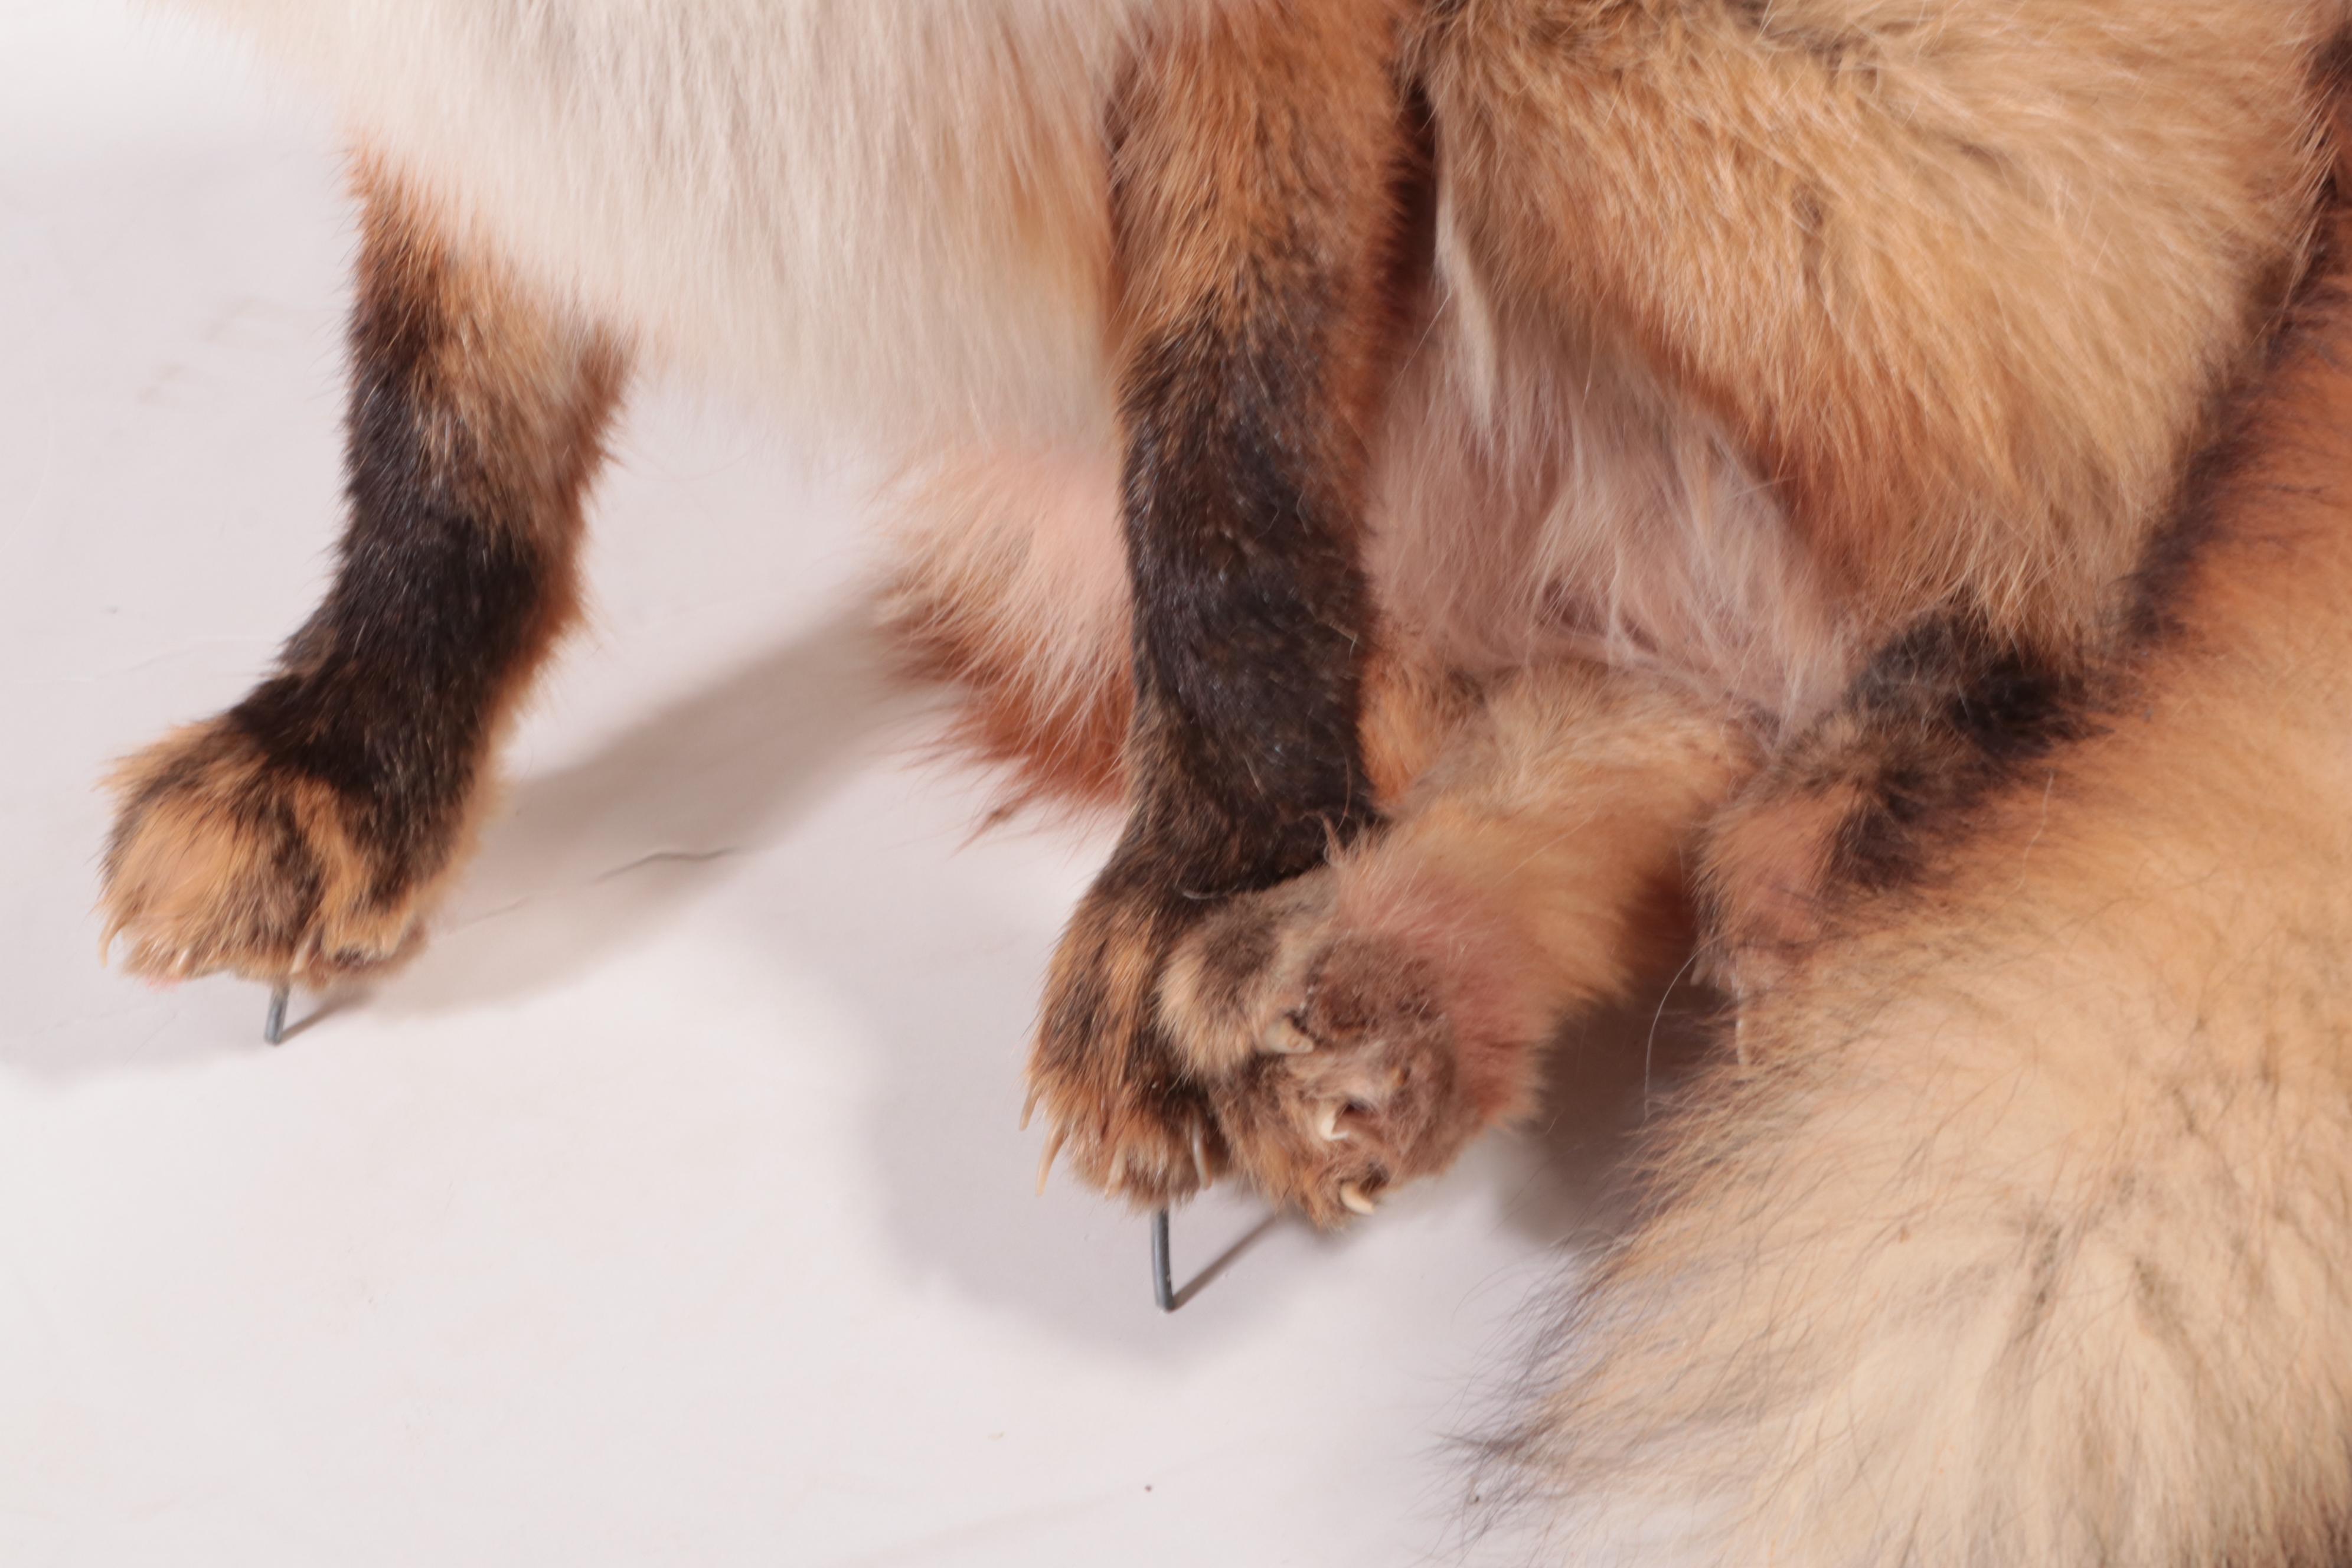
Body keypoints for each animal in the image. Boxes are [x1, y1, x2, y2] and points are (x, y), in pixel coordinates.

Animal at [96, 0, 2352, 1560]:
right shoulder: (457, 104)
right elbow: (442, 424)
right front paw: (345, 747)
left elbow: (1228, 461)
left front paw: (1213, 862)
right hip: (1050, 549)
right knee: (1656, 701)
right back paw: (1402, 982)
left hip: (1627, 67)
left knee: (2094, 505)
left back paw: (1885, 812)